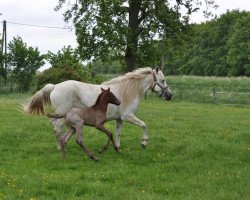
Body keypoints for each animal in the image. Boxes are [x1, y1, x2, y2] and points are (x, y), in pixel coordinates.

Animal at [23, 67, 172, 148]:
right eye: (163, 80)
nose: (170, 95)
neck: (127, 91)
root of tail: (54, 86)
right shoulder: (127, 116)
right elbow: (144, 125)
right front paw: (144, 142)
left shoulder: (120, 119)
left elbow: (118, 133)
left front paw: (117, 147)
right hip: (62, 114)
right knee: (57, 129)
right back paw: (61, 147)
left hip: (61, 115)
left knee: (56, 126)